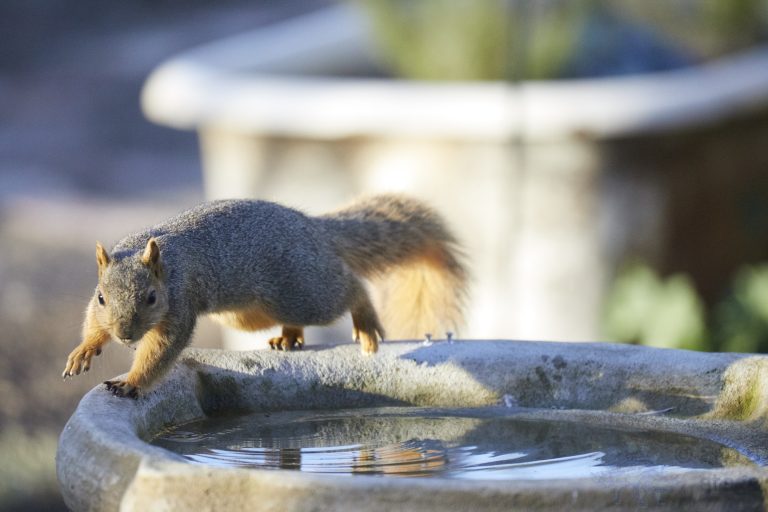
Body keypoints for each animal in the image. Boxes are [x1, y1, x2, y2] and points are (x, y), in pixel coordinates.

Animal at [62, 194, 468, 399]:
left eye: (150, 298)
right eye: (101, 297)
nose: (125, 336)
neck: (167, 267)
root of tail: (312, 227)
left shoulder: (180, 303)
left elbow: (160, 351)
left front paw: (130, 382)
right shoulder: (98, 309)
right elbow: (91, 325)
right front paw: (84, 350)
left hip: (303, 290)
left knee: (350, 289)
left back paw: (365, 322)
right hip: (250, 310)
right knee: (289, 317)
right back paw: (288, 337)